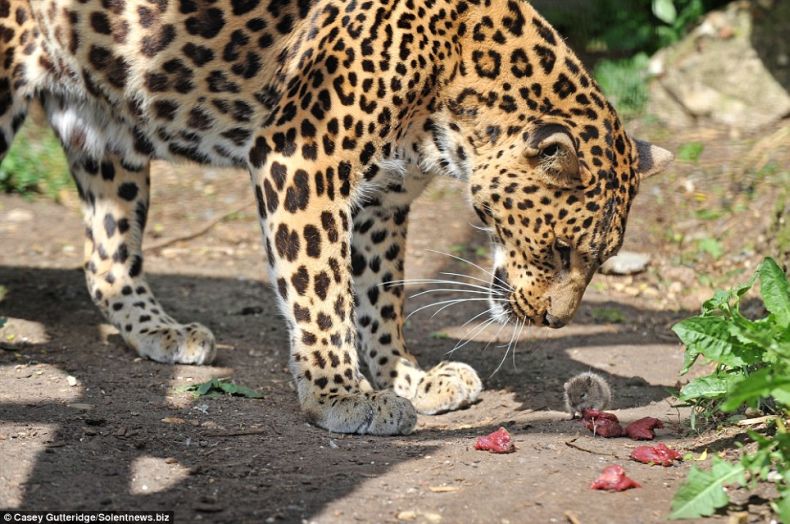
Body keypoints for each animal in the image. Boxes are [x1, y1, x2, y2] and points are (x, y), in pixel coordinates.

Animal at [0, 0, 676, 434]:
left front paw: (407, 378)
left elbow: (380, 296)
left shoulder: (385, 195)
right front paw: (340, 395)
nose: (557, 324)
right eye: (562, 251)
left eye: (599, 262)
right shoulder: (301, 157)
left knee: (105, 260)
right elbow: (320, 289)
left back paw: (162, 332)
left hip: (102, 129)